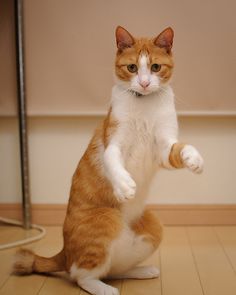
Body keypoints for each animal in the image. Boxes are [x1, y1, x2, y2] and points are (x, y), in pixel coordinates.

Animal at [13, 25, 204, 295]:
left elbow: (181, 148)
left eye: (155, 67)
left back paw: (140, 271)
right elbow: (112, 159)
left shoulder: (164, 148)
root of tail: (63, 252)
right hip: (106, 220)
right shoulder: (114, 141)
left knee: (113, 269)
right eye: (132, 67)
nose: (144, 83)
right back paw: (104, 288)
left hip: (153, 224)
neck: (144, 106)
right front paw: (124, 185)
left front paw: (194, 158)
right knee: (80, 275)